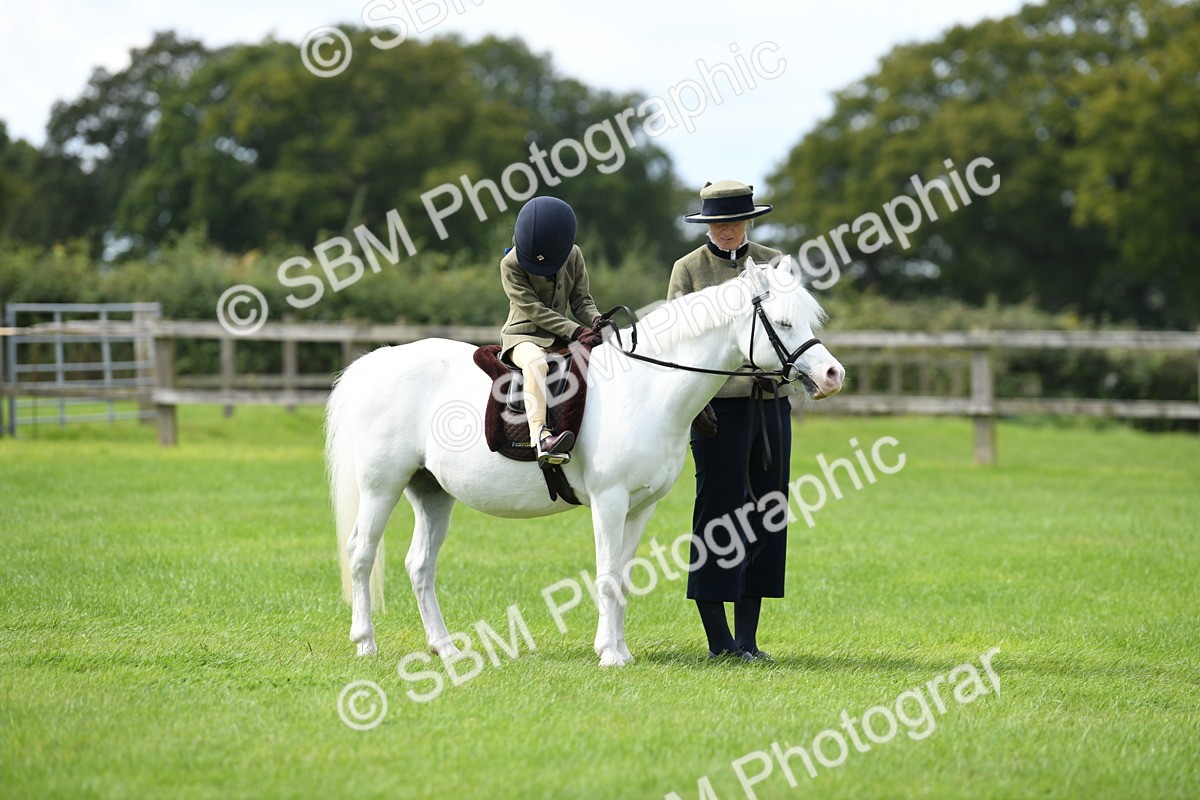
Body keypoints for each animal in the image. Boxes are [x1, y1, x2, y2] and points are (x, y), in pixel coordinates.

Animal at [325, 256, 845, 666]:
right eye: (783, 323)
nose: (832, 374)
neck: (646, 384)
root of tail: (375, 363)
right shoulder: (610, 502)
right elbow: (608, 575)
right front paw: (610, 654)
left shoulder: (641, 507)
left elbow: (624, 577)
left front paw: (618, 649)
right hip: (382, 487)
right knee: (361, 554)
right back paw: (365, 643)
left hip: (430, 492)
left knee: (420, 566)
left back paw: (446, 648)